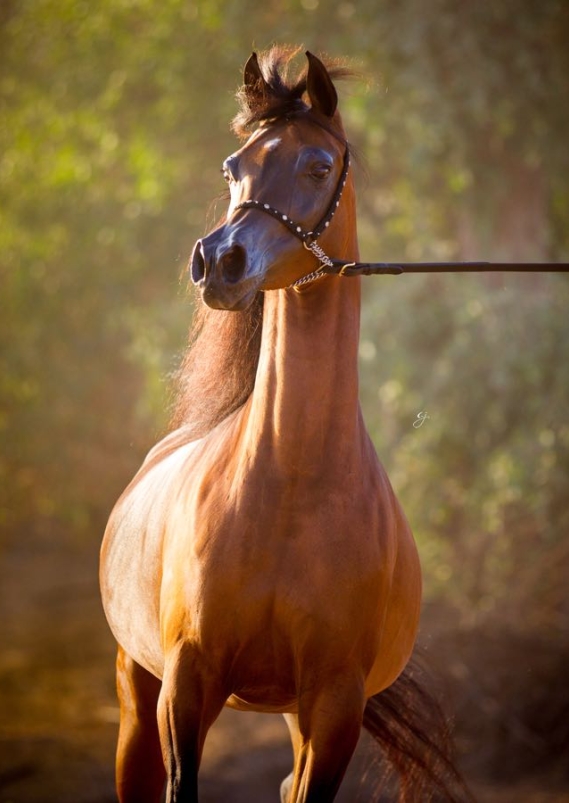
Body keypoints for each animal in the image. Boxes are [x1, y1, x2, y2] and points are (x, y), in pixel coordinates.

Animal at [101, 45, 466, 803]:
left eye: (318, 166)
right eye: (232, 167)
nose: (219, 261)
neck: (291, 486)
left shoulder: (333, 703)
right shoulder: (185, 688)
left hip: (295, 716)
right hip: (136, 692)